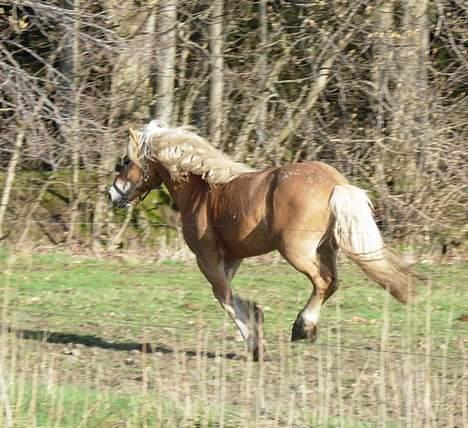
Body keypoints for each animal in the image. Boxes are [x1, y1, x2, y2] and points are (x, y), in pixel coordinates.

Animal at [109, 120, 414, 362]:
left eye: (126, 161)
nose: (112, 195)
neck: (203, 191)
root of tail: (335, 184)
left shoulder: (207, 257)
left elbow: (224, 296)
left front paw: (256, 343)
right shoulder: (232, 257)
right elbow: (227, 294)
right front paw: (256, 318)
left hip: (296, 251)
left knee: (322, 282)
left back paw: (302, 329)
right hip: (326, 249)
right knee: (333, 283)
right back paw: (306, 329)